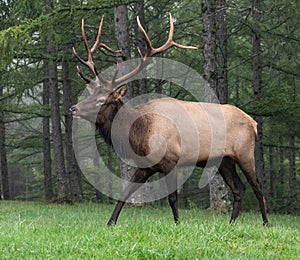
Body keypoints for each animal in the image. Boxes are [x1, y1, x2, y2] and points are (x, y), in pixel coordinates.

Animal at [71, 13, 270, 225]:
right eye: (91, 94)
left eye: (102, 100)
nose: (73, 108)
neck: (138, 133)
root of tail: (253, 123)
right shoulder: (146, 167)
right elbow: (125, 193)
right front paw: (111, 222)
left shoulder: (171, 160)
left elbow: (172, 198)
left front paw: (177, 223)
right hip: (224, 160)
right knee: (239, 188)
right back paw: (231, 223)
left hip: (244, 153)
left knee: (257, 186)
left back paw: (265, 222)